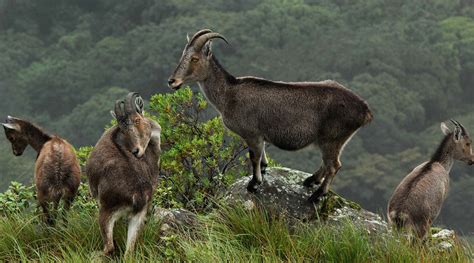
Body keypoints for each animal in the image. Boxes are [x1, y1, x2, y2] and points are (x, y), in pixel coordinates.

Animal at [87, 93, 163, 258]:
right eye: (122, 128)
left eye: (137, 119)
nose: (136, 151)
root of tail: (136, 194)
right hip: (137, 215)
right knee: (129, 250)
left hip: (106, 210)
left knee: (109, 248)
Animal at [168, 29, 372, 204]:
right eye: (182, 56)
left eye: (194, 58)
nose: (172, 81)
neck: (229, 94)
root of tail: (364, 110)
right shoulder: (260, 135)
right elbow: (261, 155)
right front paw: (264, 170)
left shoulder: (252, 133)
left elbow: (253, 157)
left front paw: (253, 184)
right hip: (335, 141)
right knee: (329, 163)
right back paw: (310, 180)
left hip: (331, 139)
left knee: (334, 165)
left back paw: (316, 195)